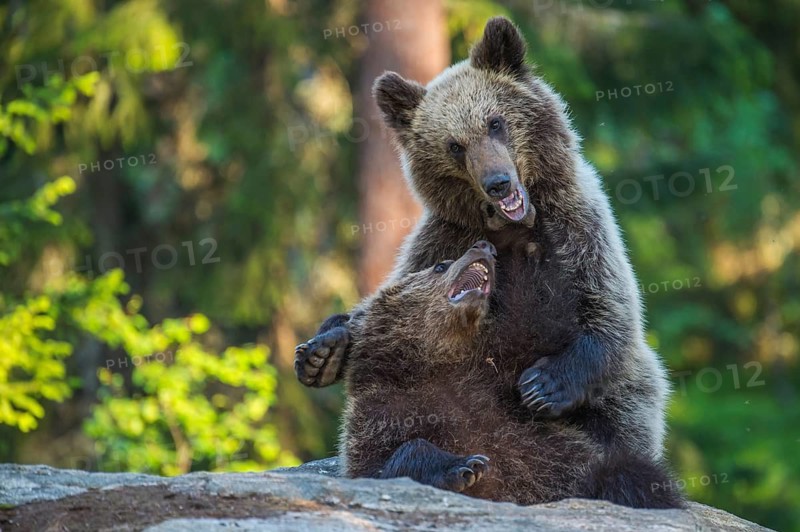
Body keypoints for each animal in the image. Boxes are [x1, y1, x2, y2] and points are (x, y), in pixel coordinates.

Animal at [295, 16, 670, 463]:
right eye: (454, 146)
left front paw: (544, 385)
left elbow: (609, 313)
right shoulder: (442, 238)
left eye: (495, 122)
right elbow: (396, 301)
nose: (498, 182)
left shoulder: (578, 228)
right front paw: (324, 351)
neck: (513, 226)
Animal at [334, 240, 683, 508]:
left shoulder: (505, 381)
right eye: (440, 265)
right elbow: (383, 463)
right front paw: (463, 467)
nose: (483, 245)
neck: (439, 362)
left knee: (631, 474)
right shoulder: (383, 411)